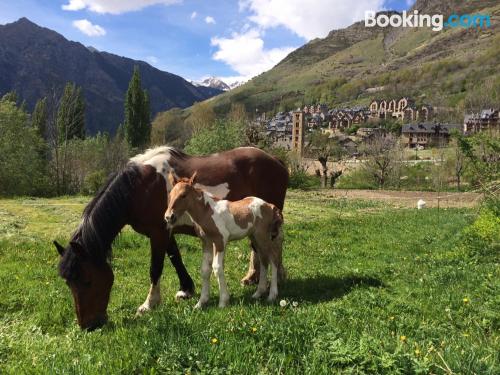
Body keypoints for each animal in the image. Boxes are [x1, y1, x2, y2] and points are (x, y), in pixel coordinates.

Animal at [164, 173, 282, 308]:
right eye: (170, 195)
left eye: (183, 195)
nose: (169, 216)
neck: (207, 211)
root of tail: (270, 206)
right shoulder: (206, 242)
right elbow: (205, 269)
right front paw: (201, 303)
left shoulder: (220, 240)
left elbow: (217, 267)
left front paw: (223, 302)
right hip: (254, 237)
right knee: (264, 260)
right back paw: (258, 293)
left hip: (263, 236)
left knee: (273, 259)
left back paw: (272, 295)